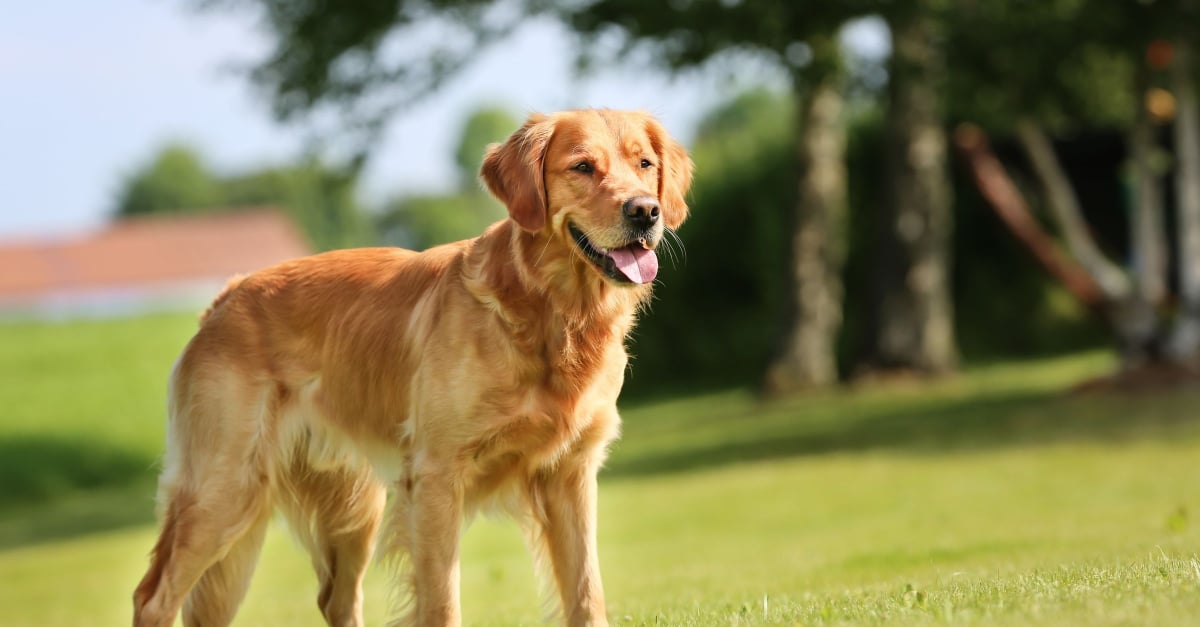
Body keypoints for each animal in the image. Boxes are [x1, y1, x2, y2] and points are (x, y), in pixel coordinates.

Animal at [131, 109, 696, 619]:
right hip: (225, 488)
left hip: (349, 507)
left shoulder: (570, 475)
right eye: (582, 166)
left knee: (336, 599)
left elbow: (586, 595)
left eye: (644, 164)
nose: (646, 212)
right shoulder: (437, 477)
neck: (551, 312)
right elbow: (442, 603)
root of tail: (224, 297)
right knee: (152, 597)